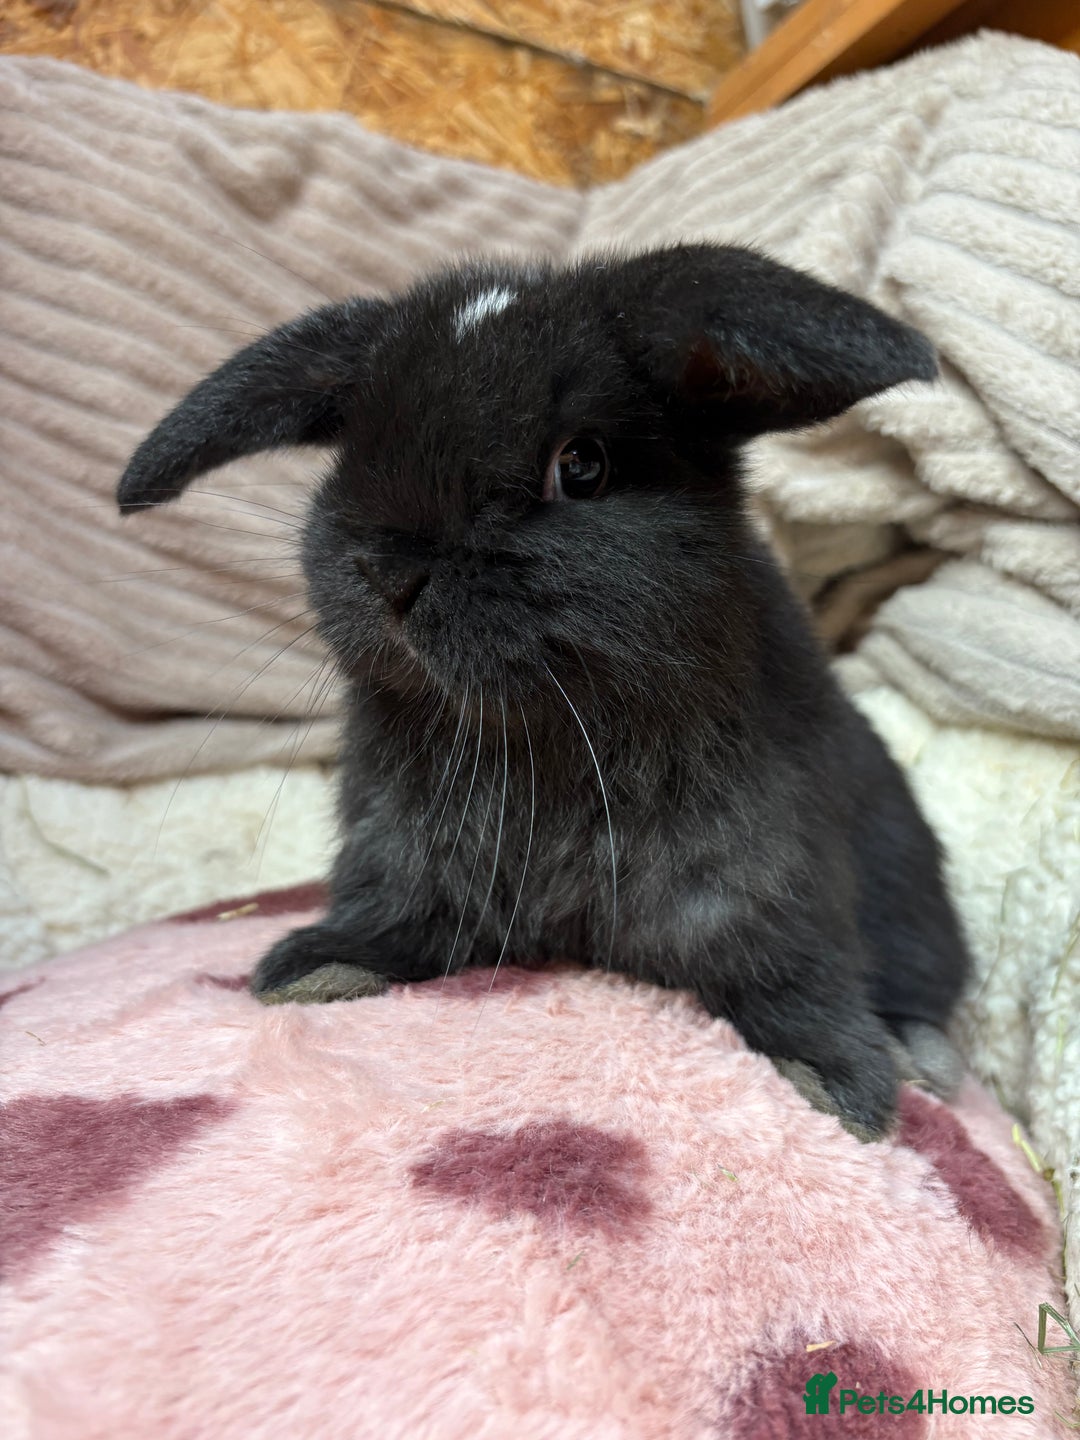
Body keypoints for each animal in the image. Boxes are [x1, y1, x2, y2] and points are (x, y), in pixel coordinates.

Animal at [118, 243, 971, 1140]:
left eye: (582, 465)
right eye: (353, 453)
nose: (389, 573)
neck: (531, 728)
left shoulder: (765, 878)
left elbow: (795, 970)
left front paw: (841, 1085)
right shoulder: (406, 859)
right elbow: (396, 921)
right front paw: (315, 965)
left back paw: (925, 1059)